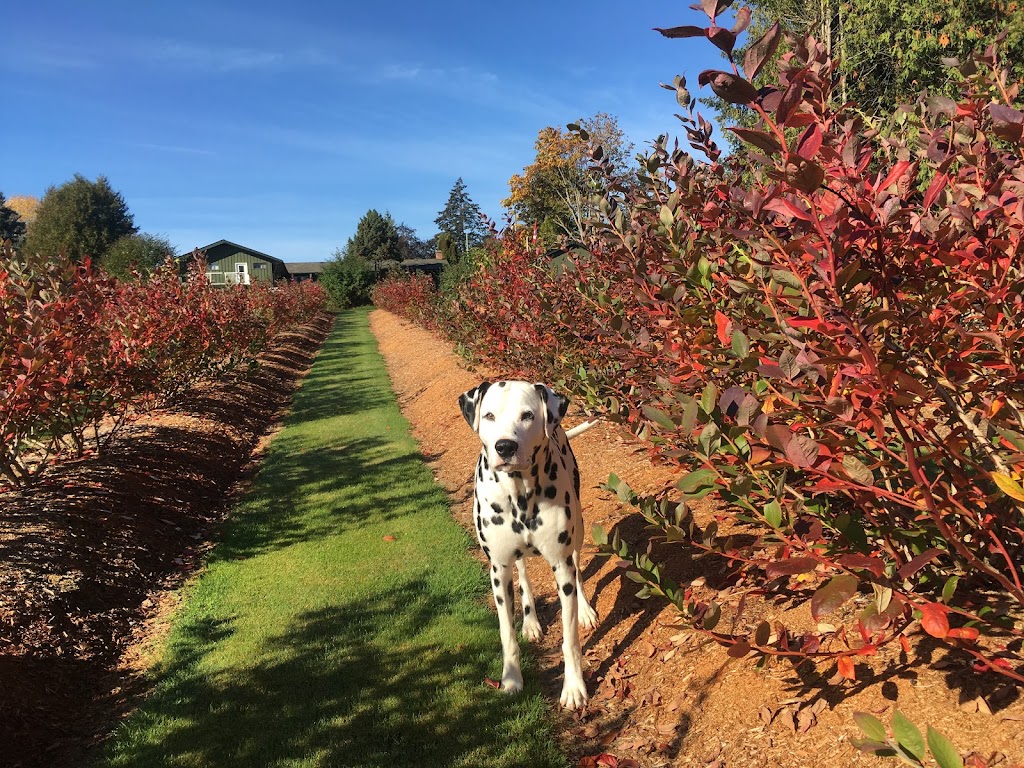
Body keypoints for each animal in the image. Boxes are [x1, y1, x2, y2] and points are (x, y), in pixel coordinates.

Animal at [458, 382, 598, 712]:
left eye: (527, 415)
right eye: (489, 415)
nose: (505, 447)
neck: (519, 494)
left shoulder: (561, 567)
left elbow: (570, 639)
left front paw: (574, 688)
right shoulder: (498, 570)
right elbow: (507, 634)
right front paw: (511, 680)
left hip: (578, 530)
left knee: (579, 570)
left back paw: (586, 611)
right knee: (522, 575)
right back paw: (531, 620)